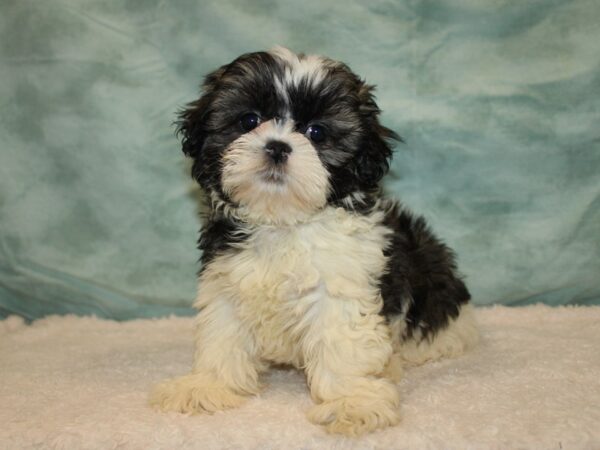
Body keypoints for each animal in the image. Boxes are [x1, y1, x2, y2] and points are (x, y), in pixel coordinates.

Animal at [151, 46, 478, 436]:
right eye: (249, 120)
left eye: (316, 132)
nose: (277, 147)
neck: (283, 220)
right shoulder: (226, 280)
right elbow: (222, 334)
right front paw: (208, 385)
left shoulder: (341, 286)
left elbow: (342, 344)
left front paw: (353, 402)